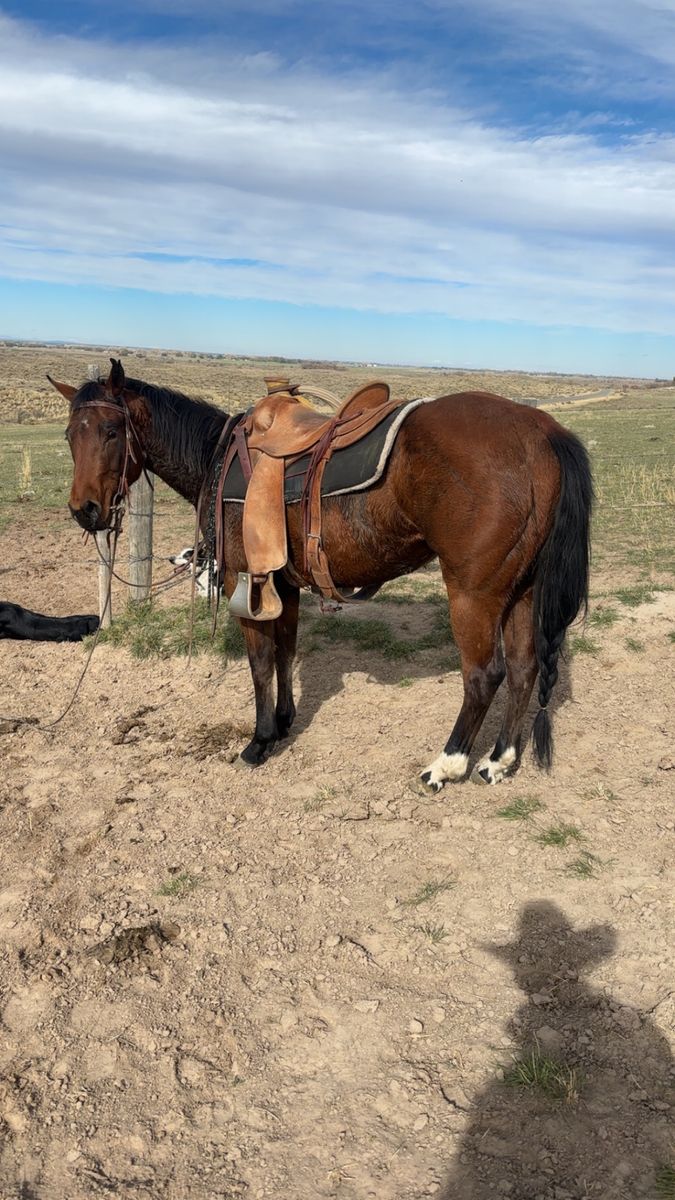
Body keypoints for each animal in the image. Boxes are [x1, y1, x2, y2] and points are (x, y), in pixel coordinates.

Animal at [49, 360, 592, 788]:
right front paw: (285, 720)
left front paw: (260, 740)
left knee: (484, 676)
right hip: (521, 590)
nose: (84, 510)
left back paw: (448, 764)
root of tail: (541, 432)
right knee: (523, 668)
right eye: (70, 435)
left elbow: (260, 662)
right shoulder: (283, 584)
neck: (214, 457)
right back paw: (498, 761)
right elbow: (286, 651)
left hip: (474, 593)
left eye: (112, 432)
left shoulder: (244, 583)